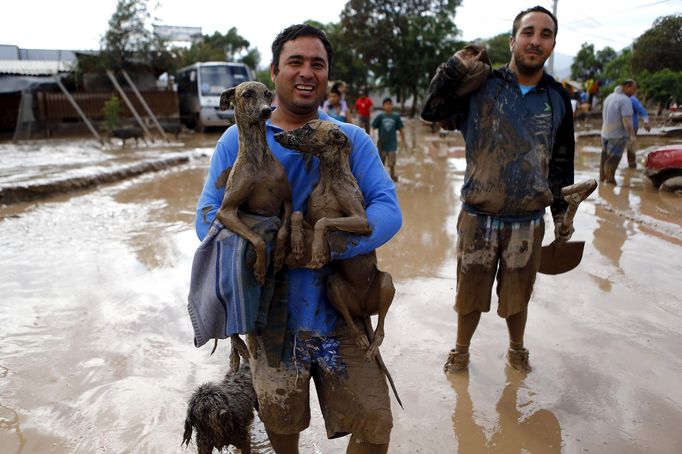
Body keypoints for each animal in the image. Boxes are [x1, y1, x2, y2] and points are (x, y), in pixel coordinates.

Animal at [218, 80, 292, 368]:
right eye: (247, 94)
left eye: (268, 93)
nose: (266, 110)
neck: (259, 158)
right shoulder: (226, 212)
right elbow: (259, 239)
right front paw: (260, 267)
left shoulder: (287, 201)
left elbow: (281, 234)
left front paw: (279, 256)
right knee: (232, 330)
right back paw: (237, 350)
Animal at [270, 118, 398, 408]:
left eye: (308, 128)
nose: (279, 135)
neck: (329, 178)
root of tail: (363, 308)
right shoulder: (307, 216)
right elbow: (298, 215)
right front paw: (297, 242)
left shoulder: (362, 221)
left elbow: (325, 221)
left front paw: (318, 250)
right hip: (334, 285)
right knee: (350, 321)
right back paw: (361, 337)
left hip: (386, 281)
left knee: (381, 327)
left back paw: (373, 342)